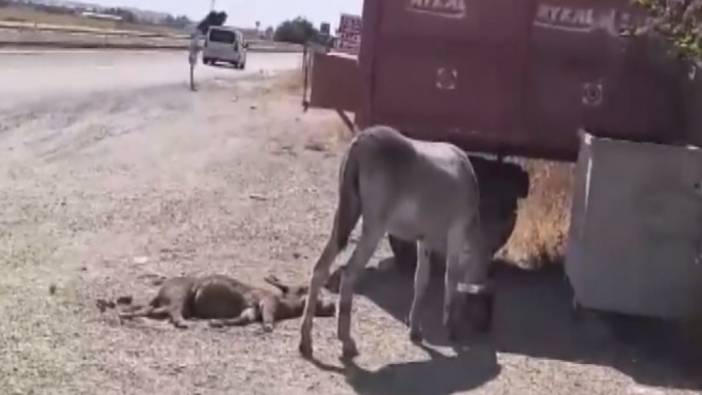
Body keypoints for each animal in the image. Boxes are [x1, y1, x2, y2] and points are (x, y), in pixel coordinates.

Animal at [119, 276, 338, 332]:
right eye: (314, 292)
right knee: (172, 311)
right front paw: (268, 326)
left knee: (154, 311)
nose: (333, 306)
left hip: (175, 303)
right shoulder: (267, 302)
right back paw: (182, 323)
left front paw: (217, 322)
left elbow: (242, 319)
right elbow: (268, 315)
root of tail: (159, 294)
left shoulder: (250, 310)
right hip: (179, 296)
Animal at [298, 125, 496, 360]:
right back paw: (347, 342)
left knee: (319, 269)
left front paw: (415, 330)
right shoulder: (456, 232)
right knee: (349, 274)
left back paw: (306, 342)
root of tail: (361, 140)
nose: (485, 326)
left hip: (345, 215)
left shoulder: (425, 240)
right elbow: (451, 278)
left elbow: (421, 280)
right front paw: (450, 328)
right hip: (374, 228)